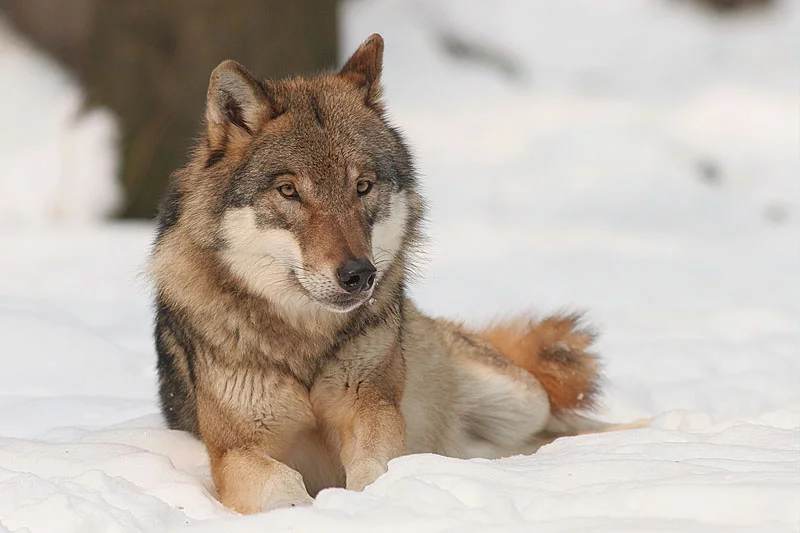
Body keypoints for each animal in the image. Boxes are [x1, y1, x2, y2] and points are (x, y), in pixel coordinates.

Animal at [152, 34, 636, 516]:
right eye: (289, 191)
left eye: (362, 186)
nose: (359, 275)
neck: (306, 344)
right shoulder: (235, 449)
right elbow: (280, 486)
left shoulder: (375, 409)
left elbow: (376, 469)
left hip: (523, 399)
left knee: (568, 427)